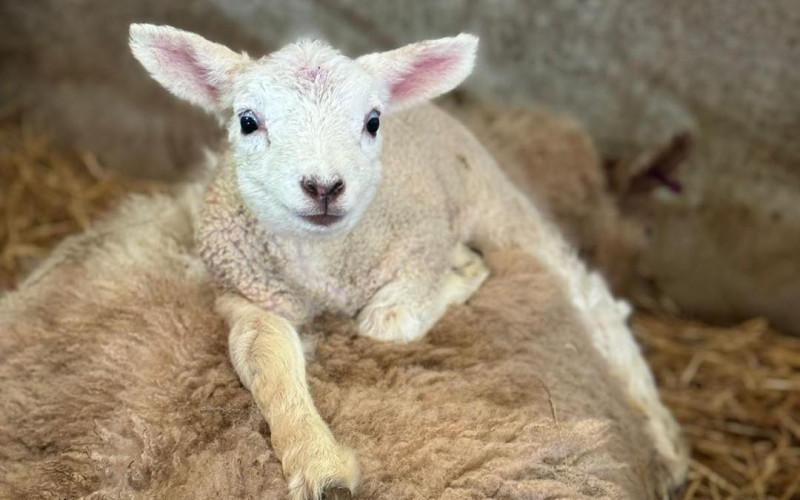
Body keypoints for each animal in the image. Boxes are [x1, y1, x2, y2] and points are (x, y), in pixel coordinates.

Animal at [128, 24, 687, 499]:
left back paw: (666, 441)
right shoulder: (244, 292)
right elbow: (265, 356)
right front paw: (319, 462)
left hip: (495, 203)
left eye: (372, 122)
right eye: (247, 121)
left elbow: (386, 322)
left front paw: (458, 277)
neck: (325, 265)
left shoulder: (420, 247)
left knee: (591, 298)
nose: (324, 186)